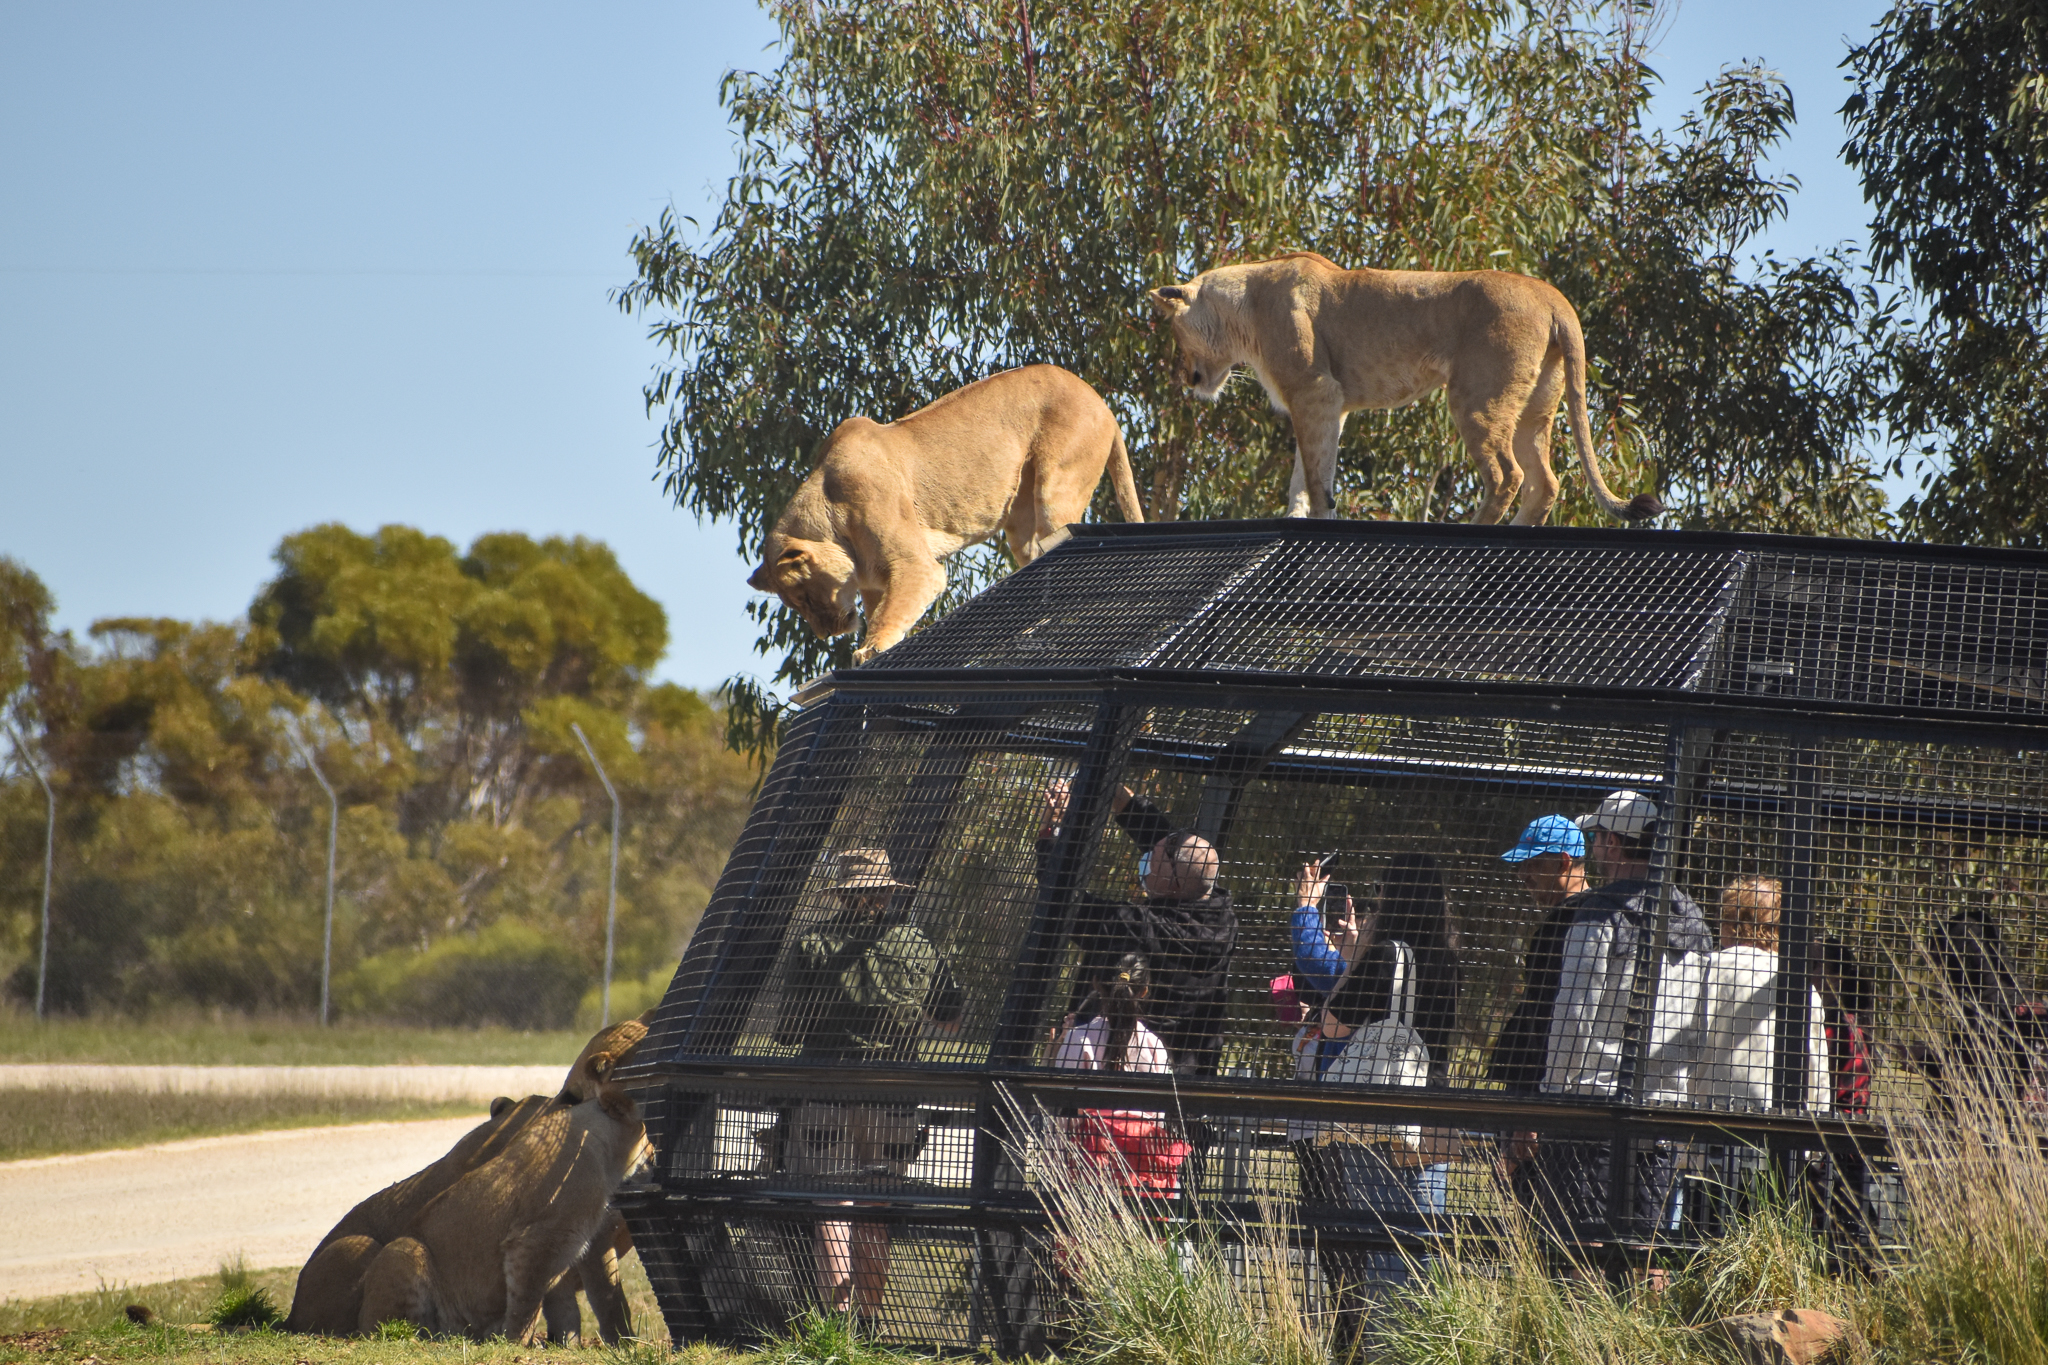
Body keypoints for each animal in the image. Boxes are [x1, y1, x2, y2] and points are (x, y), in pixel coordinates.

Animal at [747, 364, 1144, 664]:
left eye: (804, 597)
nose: (826, 633)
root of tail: (1102, 402)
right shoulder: (875, 583)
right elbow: (881, 611)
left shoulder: (915, 566)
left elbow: (889, 613)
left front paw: (869, 650)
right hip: (1022, 522)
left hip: (1057, 486)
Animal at [1147, 252, 1662, 525]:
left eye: (1174, 334)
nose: (1189, 379)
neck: (1244, 310)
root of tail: (1553, 296)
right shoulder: (1331, 404)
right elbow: (1308, 475)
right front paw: (1299, 515)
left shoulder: (1314, 390)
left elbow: (1312, 477)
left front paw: (1317, 518)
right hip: (1535, 408)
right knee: (1546, 481)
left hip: (1477, 398)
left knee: (1506, 475)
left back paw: (1476, 527)